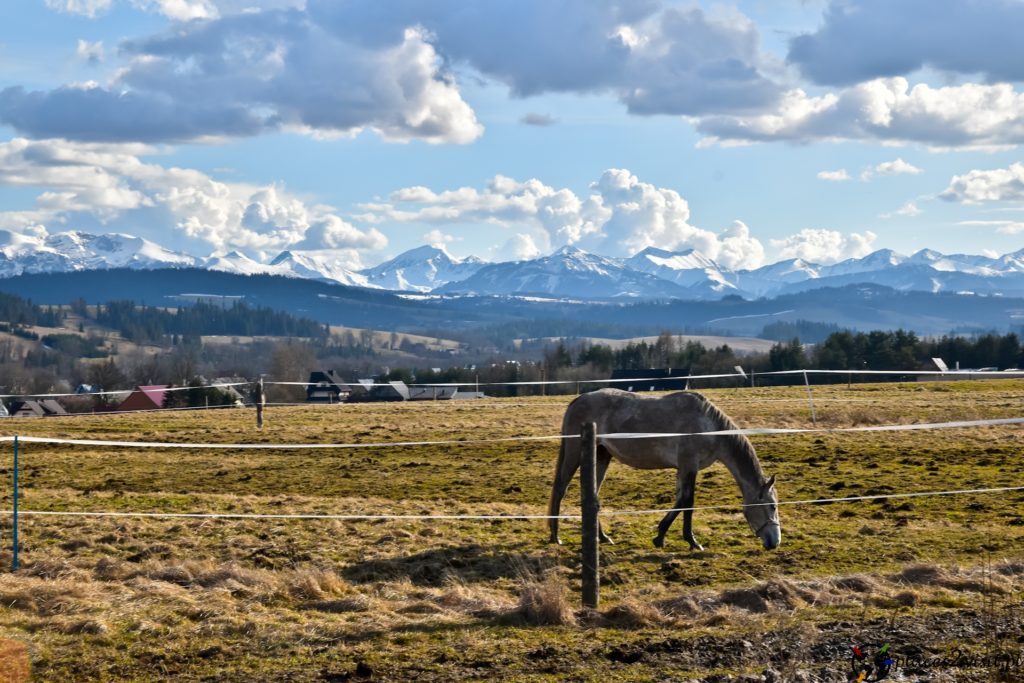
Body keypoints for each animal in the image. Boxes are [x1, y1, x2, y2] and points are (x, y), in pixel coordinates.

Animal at [548, 387, 778, 552]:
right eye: (773, 506)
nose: (774, 542)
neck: (708, 425)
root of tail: (578, 400)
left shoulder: (683, 469)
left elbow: (679, 501)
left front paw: (660, 536)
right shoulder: (689, 465)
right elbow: (688, 503)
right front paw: (692, 541)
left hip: (602, 455)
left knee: (592, 497)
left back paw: (603, 537)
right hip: (575, 453)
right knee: (560, 488)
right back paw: (555, 536)